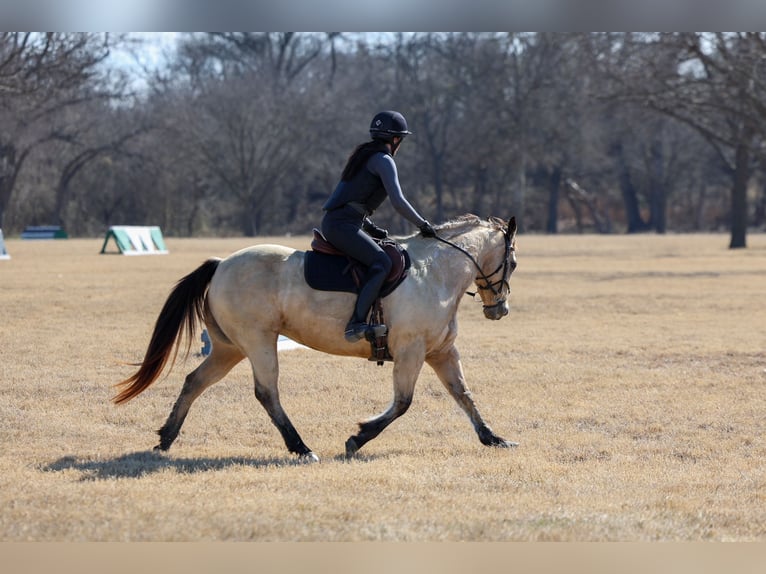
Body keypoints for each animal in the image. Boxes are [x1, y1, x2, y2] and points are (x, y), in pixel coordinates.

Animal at [113, 214, 518, 462]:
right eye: (512, 262)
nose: (499, 310)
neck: (434, 272)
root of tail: (221, 264)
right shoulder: (411, 351)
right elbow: (403, 402)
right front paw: (358, 438)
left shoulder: (441, 352)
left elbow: (464, 395)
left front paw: (493, 438)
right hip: (258, 342)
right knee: (267, 393)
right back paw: (301, 448)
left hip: (228, 348)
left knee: (194, 381)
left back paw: (166, 437)